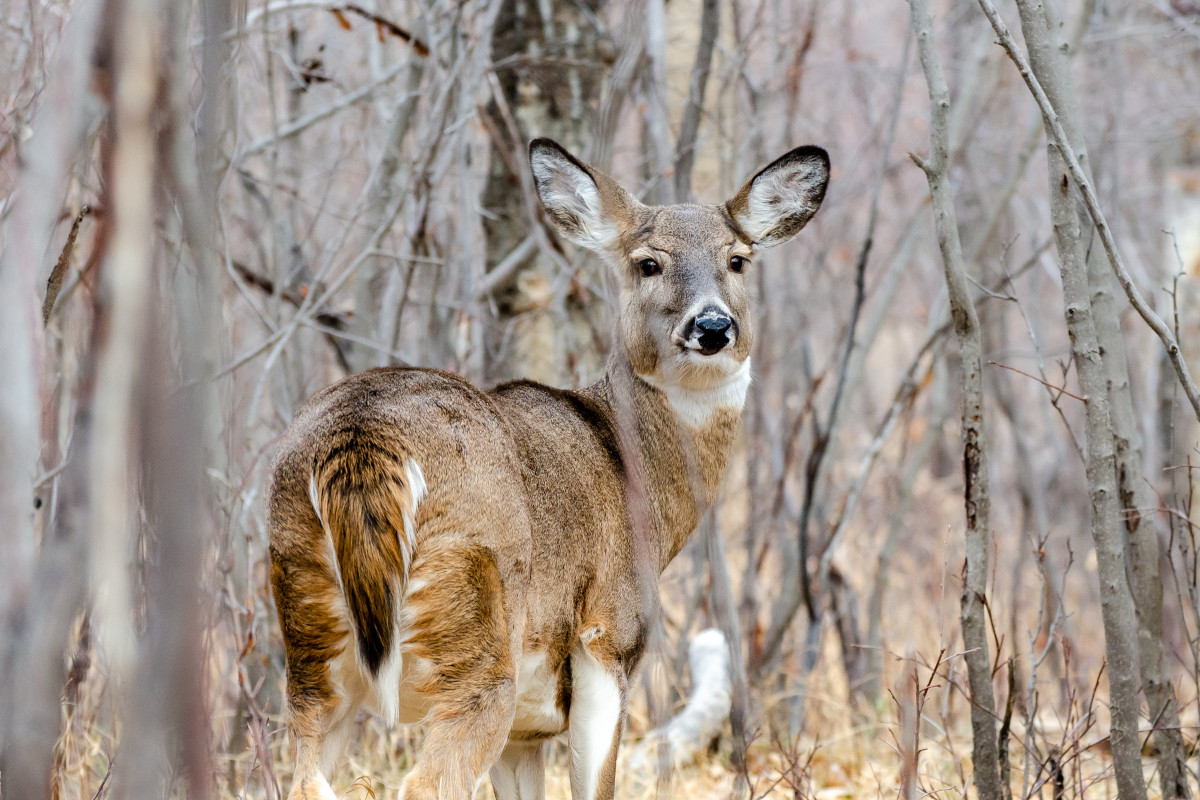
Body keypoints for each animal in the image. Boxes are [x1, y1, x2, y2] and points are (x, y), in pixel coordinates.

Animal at [267, 139, 830, 800]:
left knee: (304, 778)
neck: (636, 476)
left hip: (309, 641)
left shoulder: (526, 730)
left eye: (738, 260)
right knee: (425, 782)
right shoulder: (608, 638)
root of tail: (363, 439)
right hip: (475, 636)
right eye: (648, 264)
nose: (713, 326)